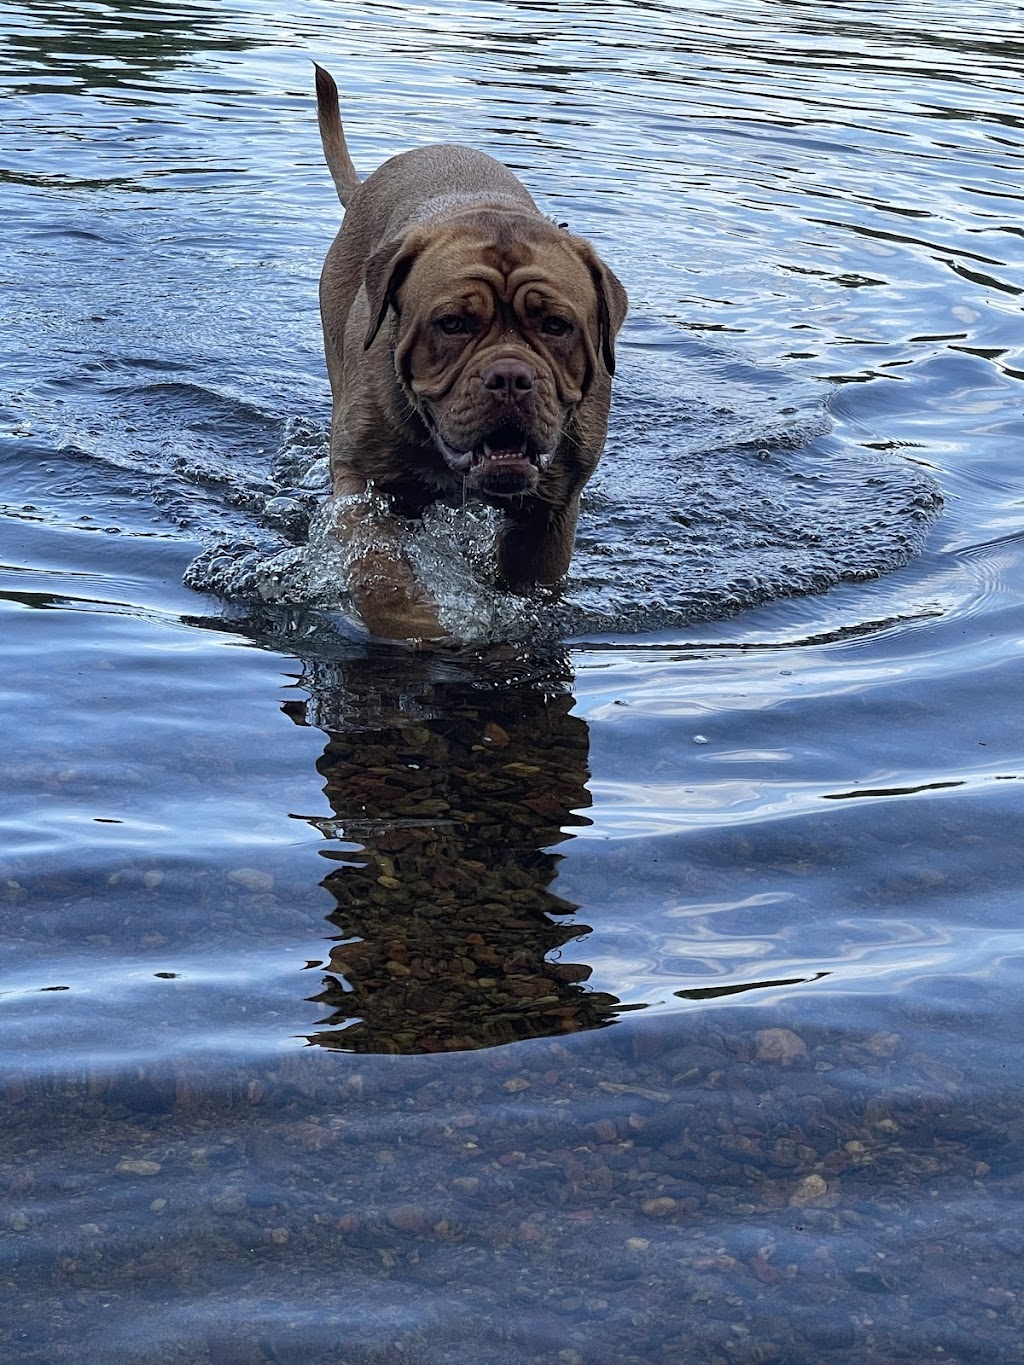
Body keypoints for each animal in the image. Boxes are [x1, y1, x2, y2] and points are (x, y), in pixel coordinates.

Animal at [316, 64, 630, 638]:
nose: (509, 377)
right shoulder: (361, 483)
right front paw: (414, 625)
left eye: (556, 325)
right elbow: (380, 571)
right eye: (453, 324)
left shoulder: (552, 512)